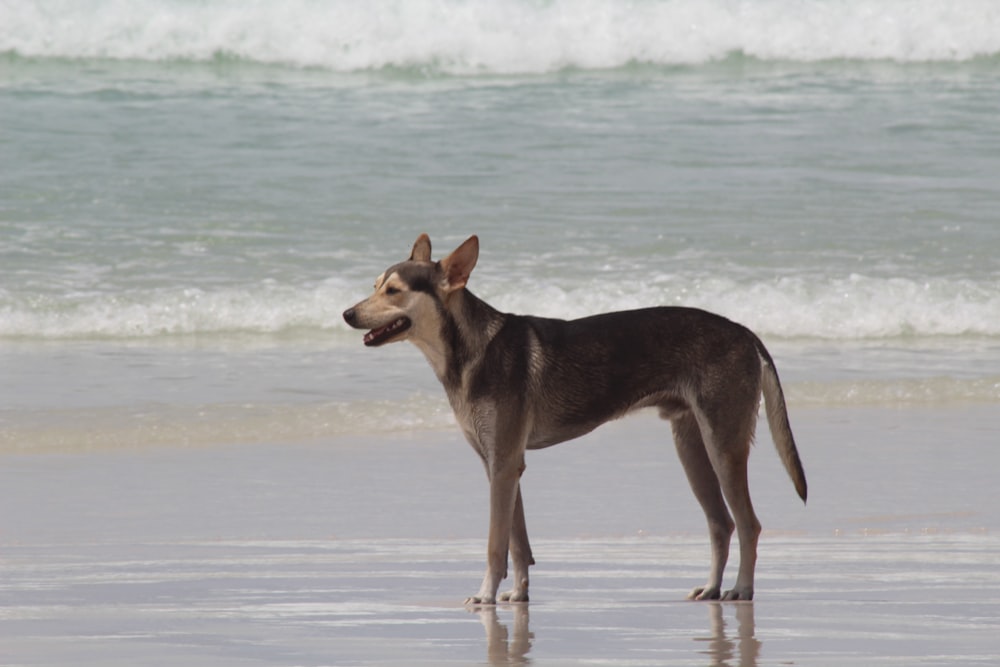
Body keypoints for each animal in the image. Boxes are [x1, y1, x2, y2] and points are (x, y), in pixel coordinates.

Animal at [342, 235, 804, 604]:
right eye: (374, 286)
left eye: (394, 291)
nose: (347, 314)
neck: (469, 352)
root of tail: (744, 330)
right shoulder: (502, 466)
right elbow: (517, 543)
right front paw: (518, 595)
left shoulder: (503, 466)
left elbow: (495, 545)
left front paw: (486, 595)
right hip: (691, 447)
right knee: (721, 524)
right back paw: (711, 588)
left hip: (723, 446)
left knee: (748, 524)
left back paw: (742, 589)